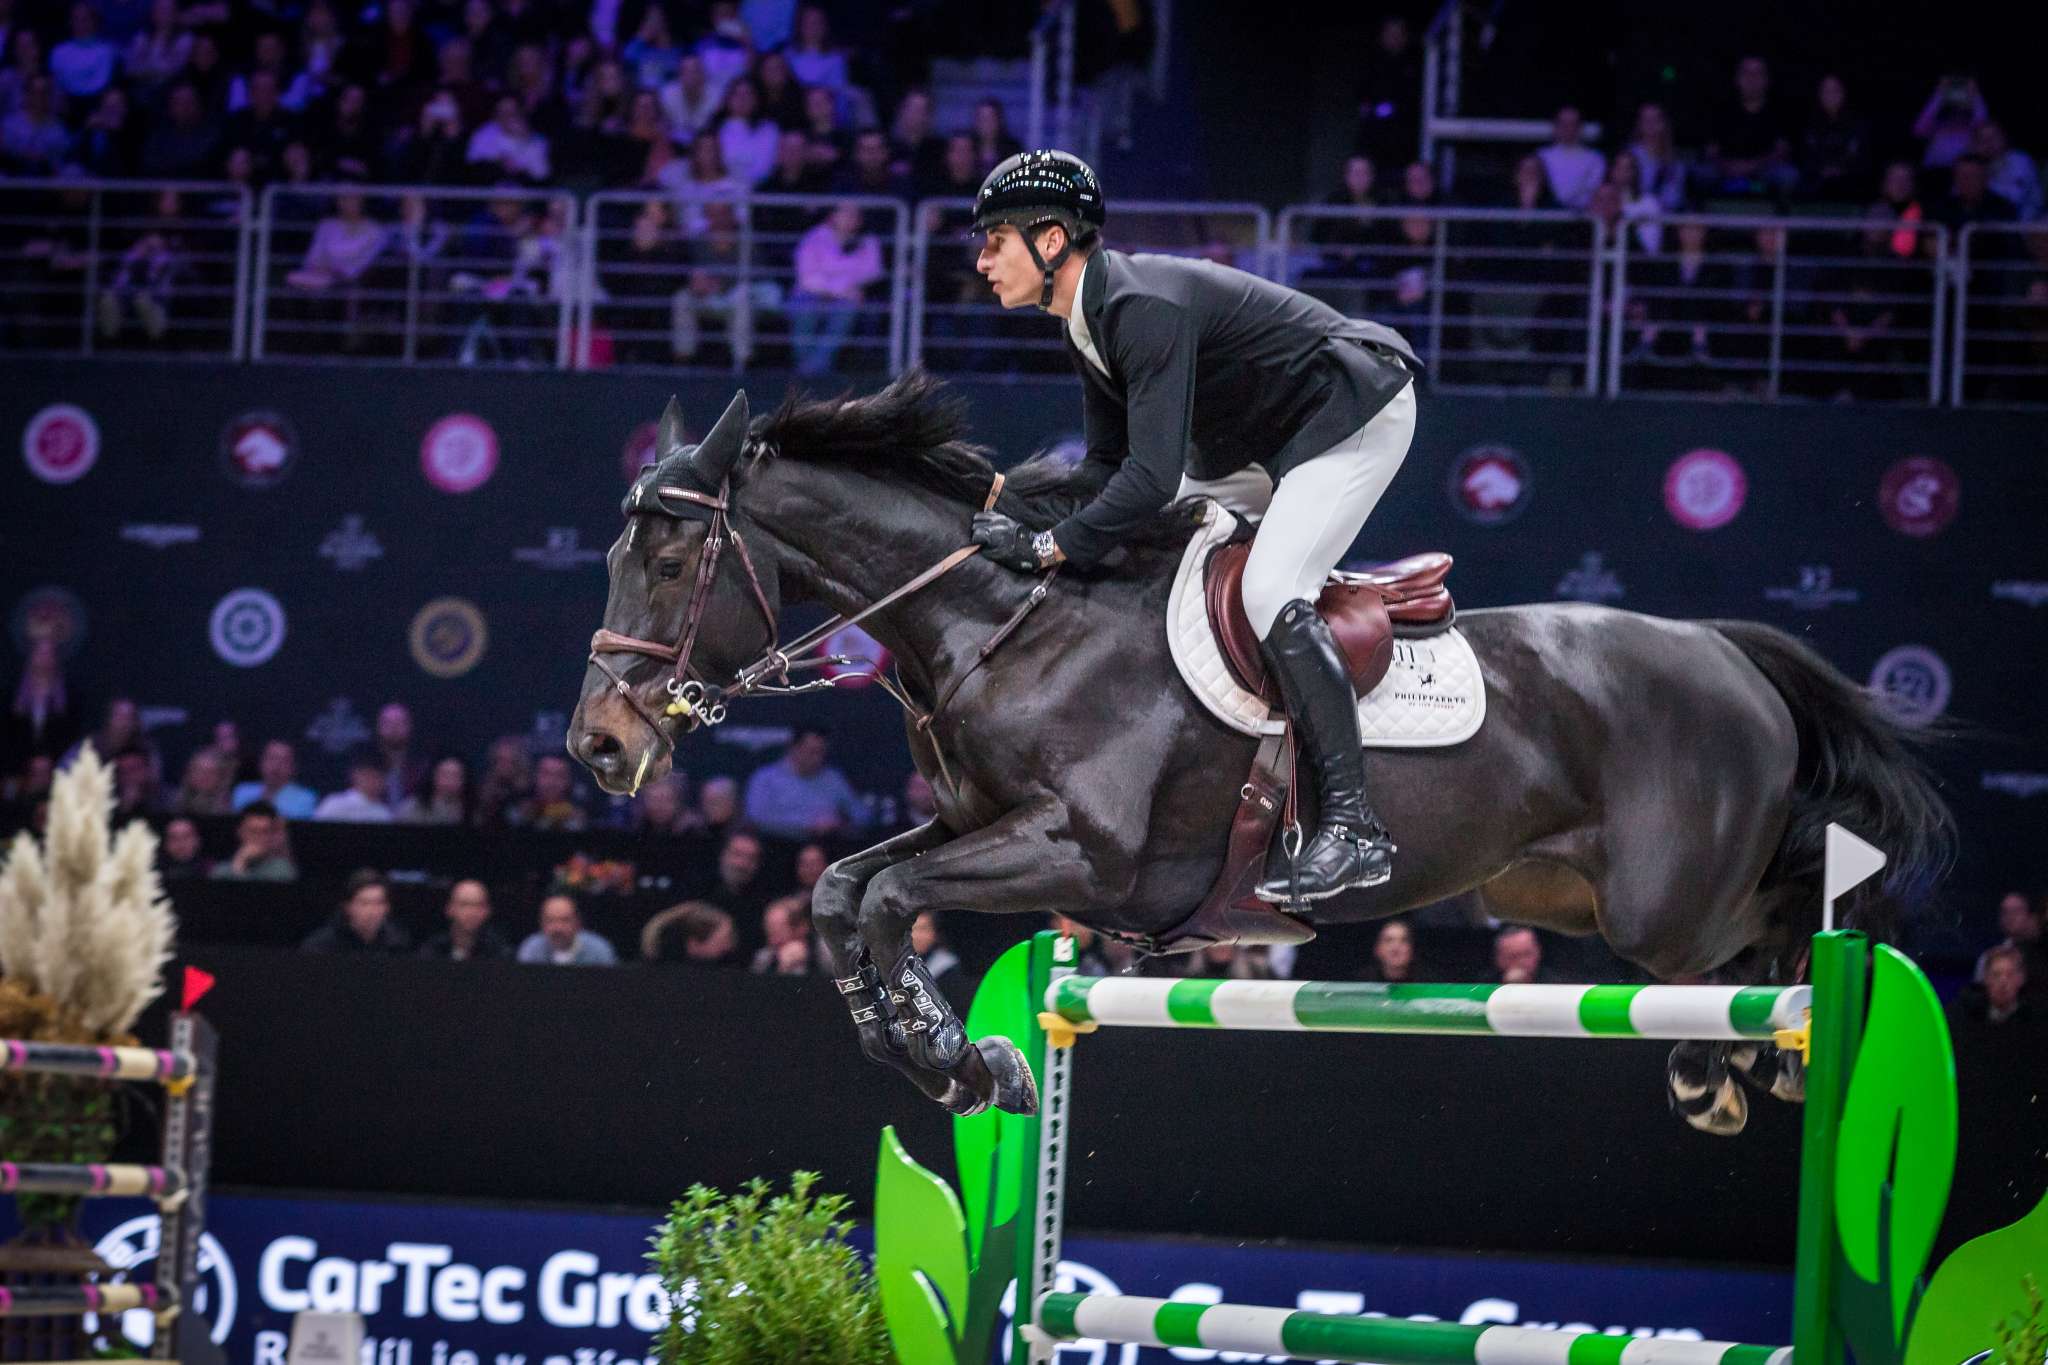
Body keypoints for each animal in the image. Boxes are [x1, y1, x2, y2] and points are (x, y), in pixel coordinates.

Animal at [567, 372, 1954, 1129]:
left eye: (673, 561)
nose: (597, 745)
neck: (1002, 621)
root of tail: (1726, 652)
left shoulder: (1085, 858)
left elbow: (888, 893)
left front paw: (952, 1055)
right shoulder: (977, 824)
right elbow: (845, 890)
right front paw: (951, 1055)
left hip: (1663, 911)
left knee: (1778, 928)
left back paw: (1740, 1064)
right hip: (1545, 894)